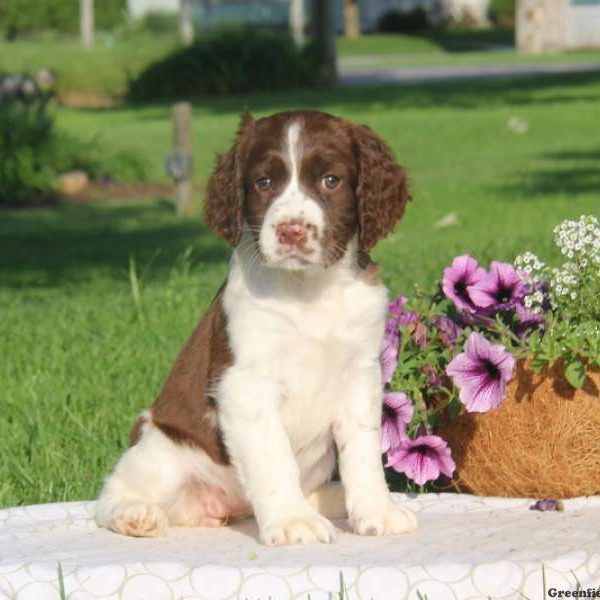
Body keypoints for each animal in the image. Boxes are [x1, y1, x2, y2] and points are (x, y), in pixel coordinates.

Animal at [97, 110, 418, 548]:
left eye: (330, 180)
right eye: (264, 182)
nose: (291, 231)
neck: (307, 291)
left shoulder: (361, 375)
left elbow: (363, 452)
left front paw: (376, 511)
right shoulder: (244, 384)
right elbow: (273, 454)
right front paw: (292, 521)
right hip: (160, 449)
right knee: (112, 492)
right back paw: (134, 514)